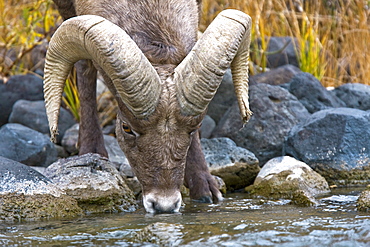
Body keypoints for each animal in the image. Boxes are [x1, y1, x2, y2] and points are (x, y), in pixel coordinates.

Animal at [44, 0, 251, 212]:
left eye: (194, 129)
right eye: (126, 128)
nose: (164, 205)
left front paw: (206, 191)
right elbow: (85, 70)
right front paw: (91, 152)